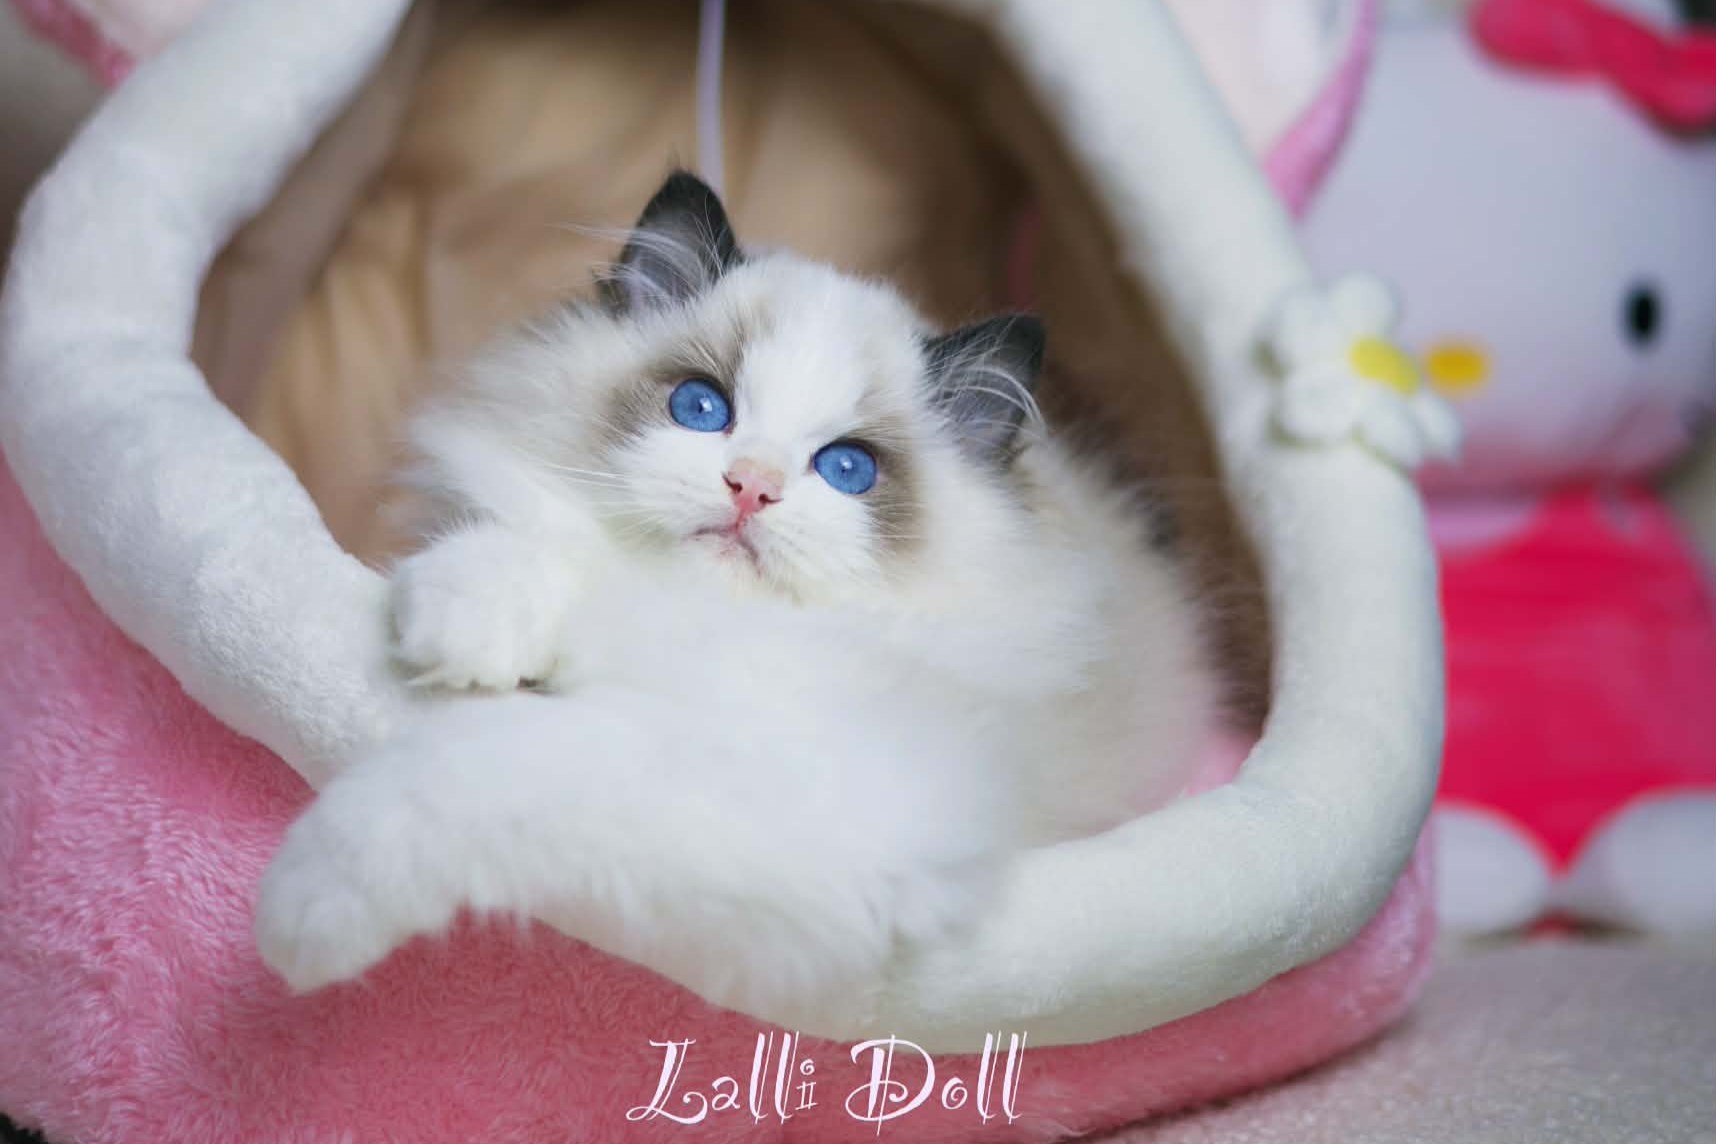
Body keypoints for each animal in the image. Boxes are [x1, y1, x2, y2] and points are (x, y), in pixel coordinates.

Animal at [253, 172, 1221, 1021]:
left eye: (847, 469)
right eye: (700, 407)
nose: (750, 487)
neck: (692, 620)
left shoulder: (794, 797)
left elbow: (501, 765)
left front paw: (303, 907)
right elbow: (531, 555)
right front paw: (463, 622)